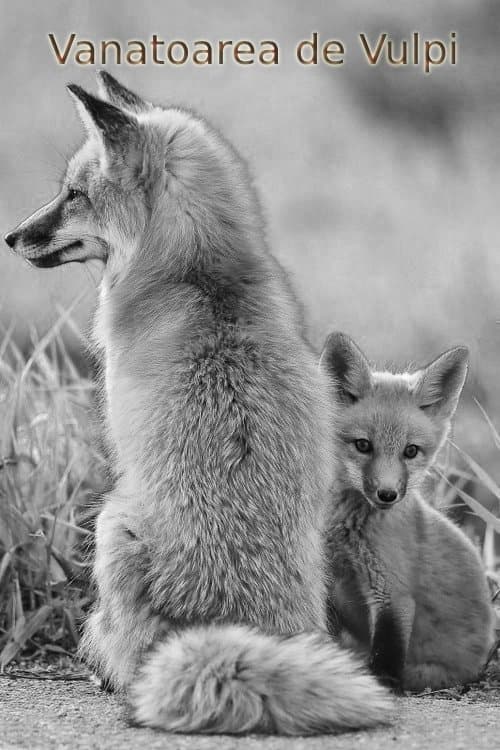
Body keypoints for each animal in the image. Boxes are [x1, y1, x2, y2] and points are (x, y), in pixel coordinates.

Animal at [4, 74, 391, 734]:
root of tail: (231, 623)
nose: (11, 236)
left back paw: (110, 676)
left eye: (75, 195)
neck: (205, 279)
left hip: (111, 522)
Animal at [320, 331, 496, 692]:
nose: (387, 495)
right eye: (363, 445)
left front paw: (380, 688)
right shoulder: (329, 581)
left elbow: (386, 657)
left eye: (410, 451)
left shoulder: (393, 592)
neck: (349, 532)